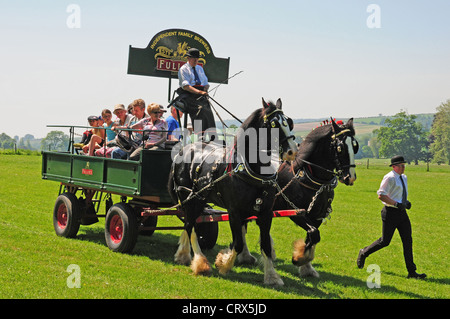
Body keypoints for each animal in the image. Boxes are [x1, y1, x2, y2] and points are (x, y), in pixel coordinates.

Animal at [167, 99, 298, 286]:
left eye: (289, 121)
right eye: (273, 124)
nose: (292, 151)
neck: (249, 169)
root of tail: (182, 151)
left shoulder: (266, 213)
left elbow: (265, 244)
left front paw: (272, 276)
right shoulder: (234, 212)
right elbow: (238, 244)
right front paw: (224, 264)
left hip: (199, 199)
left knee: (188, 224)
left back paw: (183, 255)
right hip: (189, 198)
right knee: (190, 226)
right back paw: (199, 262)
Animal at [239, 117, 358, 278]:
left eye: (355, 146)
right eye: (340, 148)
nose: (350, 177)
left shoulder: (317, 216)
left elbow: (313, 237)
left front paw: (306, 266)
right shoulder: (295, 212)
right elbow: (314, 234)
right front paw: (299, 259)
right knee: (242, 226)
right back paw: (245, 255)